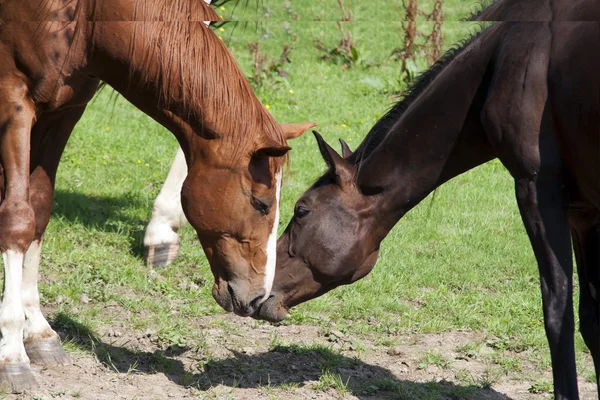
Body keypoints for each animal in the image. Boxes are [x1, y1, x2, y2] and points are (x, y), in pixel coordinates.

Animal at [0, 0, 316, 390]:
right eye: (261, 203)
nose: (258, 297)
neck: (89, 17)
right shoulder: (14, 99)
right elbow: (18, 220)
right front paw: (13, 354)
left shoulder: (65, 110)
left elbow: (40, 209)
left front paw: (39, 331)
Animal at [256, 3, 600, 400]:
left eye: (301, 210)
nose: (258, 290)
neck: (504, 59)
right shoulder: (584, 214)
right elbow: (592, 320)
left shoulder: (537, 191)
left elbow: (558, 312)